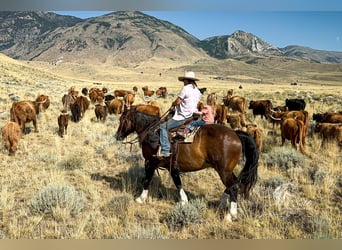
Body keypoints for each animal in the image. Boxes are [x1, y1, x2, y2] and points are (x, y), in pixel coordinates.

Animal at [115, 106, 260, 220]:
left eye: (122, 120)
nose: (117, 136)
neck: (151, 131)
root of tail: (236, 134)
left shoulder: (151, 161)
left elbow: (150, 179)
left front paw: (140, 198)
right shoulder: (169, 165)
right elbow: (175, 181)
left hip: (224, 171)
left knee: (234, 187)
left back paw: (230, 215)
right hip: (227, 171)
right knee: (235, 183)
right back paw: (224, 201)